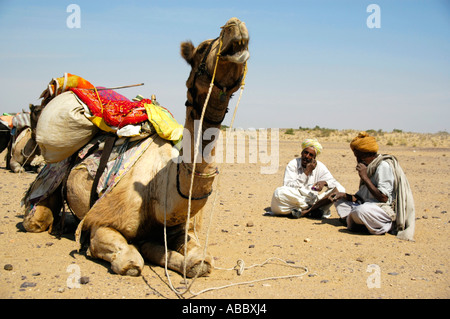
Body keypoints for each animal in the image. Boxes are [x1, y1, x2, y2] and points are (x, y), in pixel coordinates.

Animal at [22, 17, 250, 278]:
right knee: (36, 219)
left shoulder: (180, 226)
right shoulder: (101, 223)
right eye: (202, 48)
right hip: (49, 178)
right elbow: (130, 261)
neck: (157, 192)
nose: (236, 25)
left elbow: (198, 262)